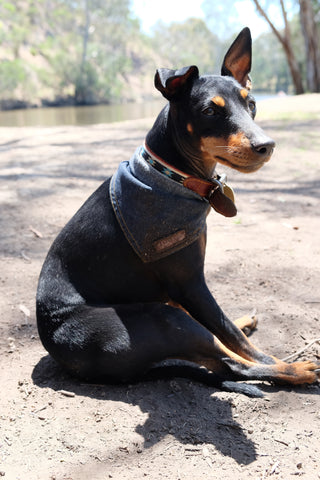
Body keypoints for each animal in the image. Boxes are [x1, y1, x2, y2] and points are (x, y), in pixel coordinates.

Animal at [37, 28, 318, 396]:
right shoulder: (189, 282)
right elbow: (238, 341)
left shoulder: (185, 291)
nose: (266, 146)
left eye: (252, 104)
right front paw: (277, 360)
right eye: (210, 111)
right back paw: (294, 369)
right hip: (166, 317)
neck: (171, 175)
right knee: (231, 362)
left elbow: (227, 330)